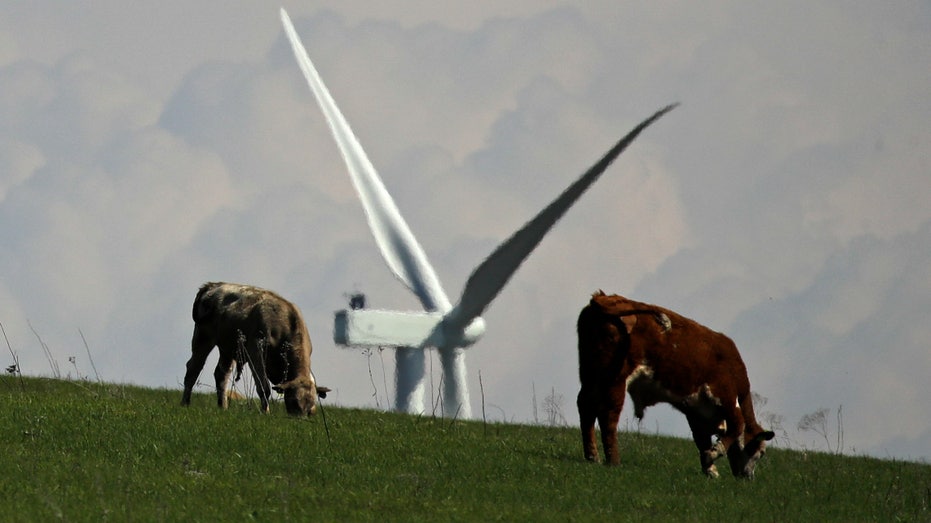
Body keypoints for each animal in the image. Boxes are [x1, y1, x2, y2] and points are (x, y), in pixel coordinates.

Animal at [180, 282, 330, 418]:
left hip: (227, 348)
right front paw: (266, 412)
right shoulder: (256, 352)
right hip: (203, 337)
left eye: (311, 408)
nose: (300, 419)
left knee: (221, 374)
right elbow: (264, 386)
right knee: (193, 369)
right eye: (293, 402)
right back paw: (185, 403)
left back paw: (223, 406)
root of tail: (212, 285)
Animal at [580, 290, 776, 478]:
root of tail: (603, 298)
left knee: (586, 407)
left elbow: (702, 439)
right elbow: (737, 424)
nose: (749, 477)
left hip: (590, 375)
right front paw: (714, 453)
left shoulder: (696, 411)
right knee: (608, 415)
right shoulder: (724, 394)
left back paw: (592, 456)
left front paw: (709, 468)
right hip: (616, 379)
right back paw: (613, 460)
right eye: (761, 453)